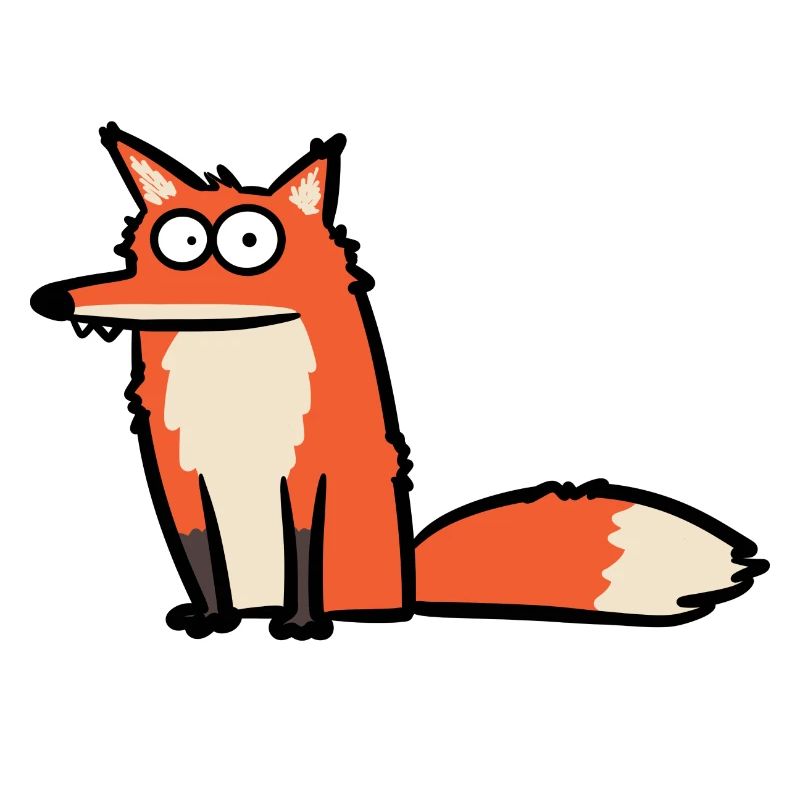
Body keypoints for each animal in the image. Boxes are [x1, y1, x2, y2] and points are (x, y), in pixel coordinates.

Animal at [30, 123, 768, 640]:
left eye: (247, 244)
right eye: (176, 245)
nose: (54, 300)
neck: (235, 376)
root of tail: (412, 583)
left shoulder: (311, 472)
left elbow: (305, 547)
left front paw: (303, 626)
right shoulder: (179, 478)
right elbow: (199, 556)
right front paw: (213, 619)